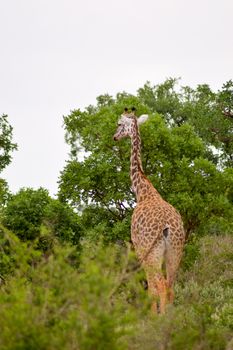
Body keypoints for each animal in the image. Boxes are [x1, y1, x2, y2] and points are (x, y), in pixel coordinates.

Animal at [113, 108, 186, 314]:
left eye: (119, 124)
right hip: (175, 252)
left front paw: (152, 316)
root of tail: (168, 227)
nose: (114, 137)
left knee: (160, 285)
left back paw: (161, 319)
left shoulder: (139, 248)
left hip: (153, 252)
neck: (144, 192)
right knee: (170, 286)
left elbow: (150, 288)